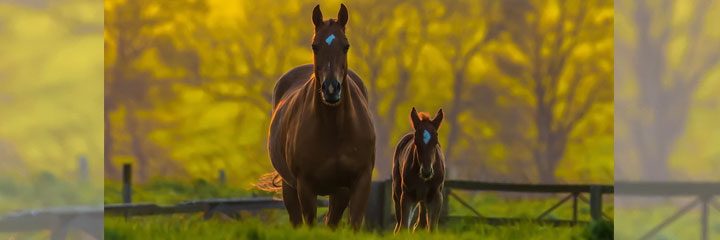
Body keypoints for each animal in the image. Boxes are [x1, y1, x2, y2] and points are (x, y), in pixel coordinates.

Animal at [260, 3, 376, 229]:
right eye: (315, 46)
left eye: (346, 46)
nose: (331, 89)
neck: (334, 130)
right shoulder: (305, 186)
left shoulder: (358, 183)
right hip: (289, 187)